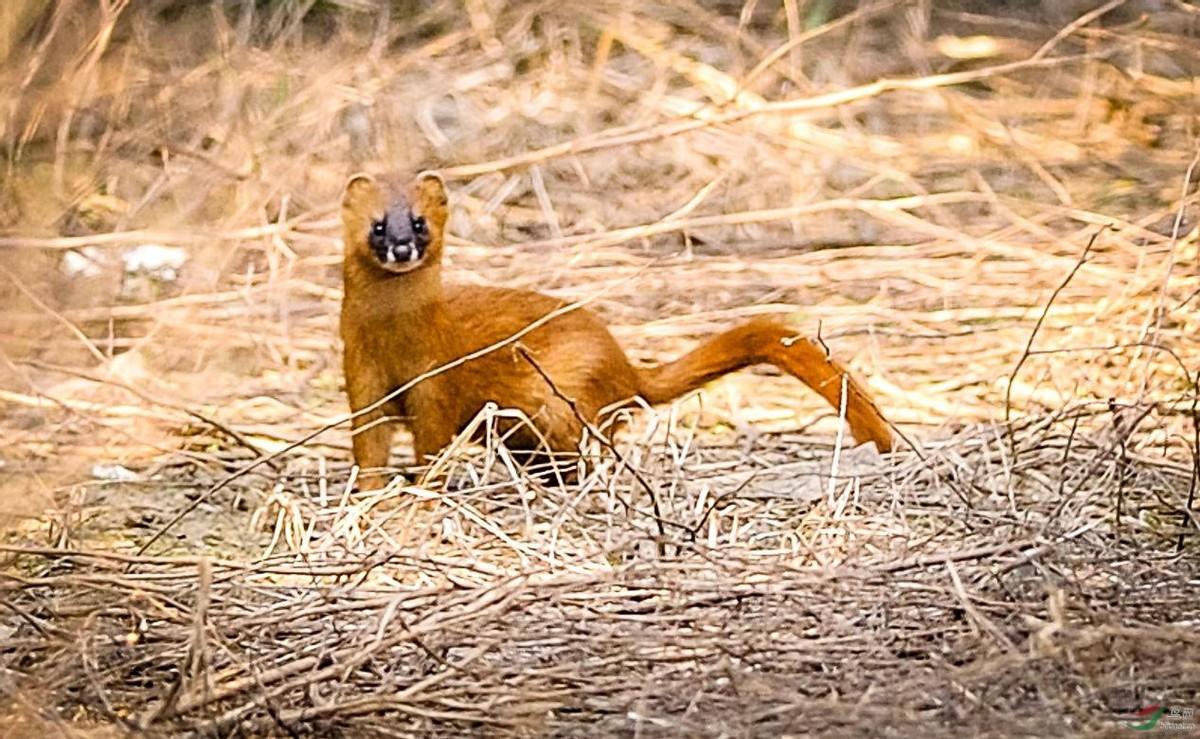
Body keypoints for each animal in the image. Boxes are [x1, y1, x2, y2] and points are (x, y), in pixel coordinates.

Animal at [338, 170, 892, 487]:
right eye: (378, 225)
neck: (392, 341)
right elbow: (368, 444)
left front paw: (423, 492)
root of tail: (625, 368)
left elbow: (431, 443)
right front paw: (371, 493)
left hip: (561, 403)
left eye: (420, 222)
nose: (403, 247)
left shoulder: (434, 381)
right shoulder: (360, 375)